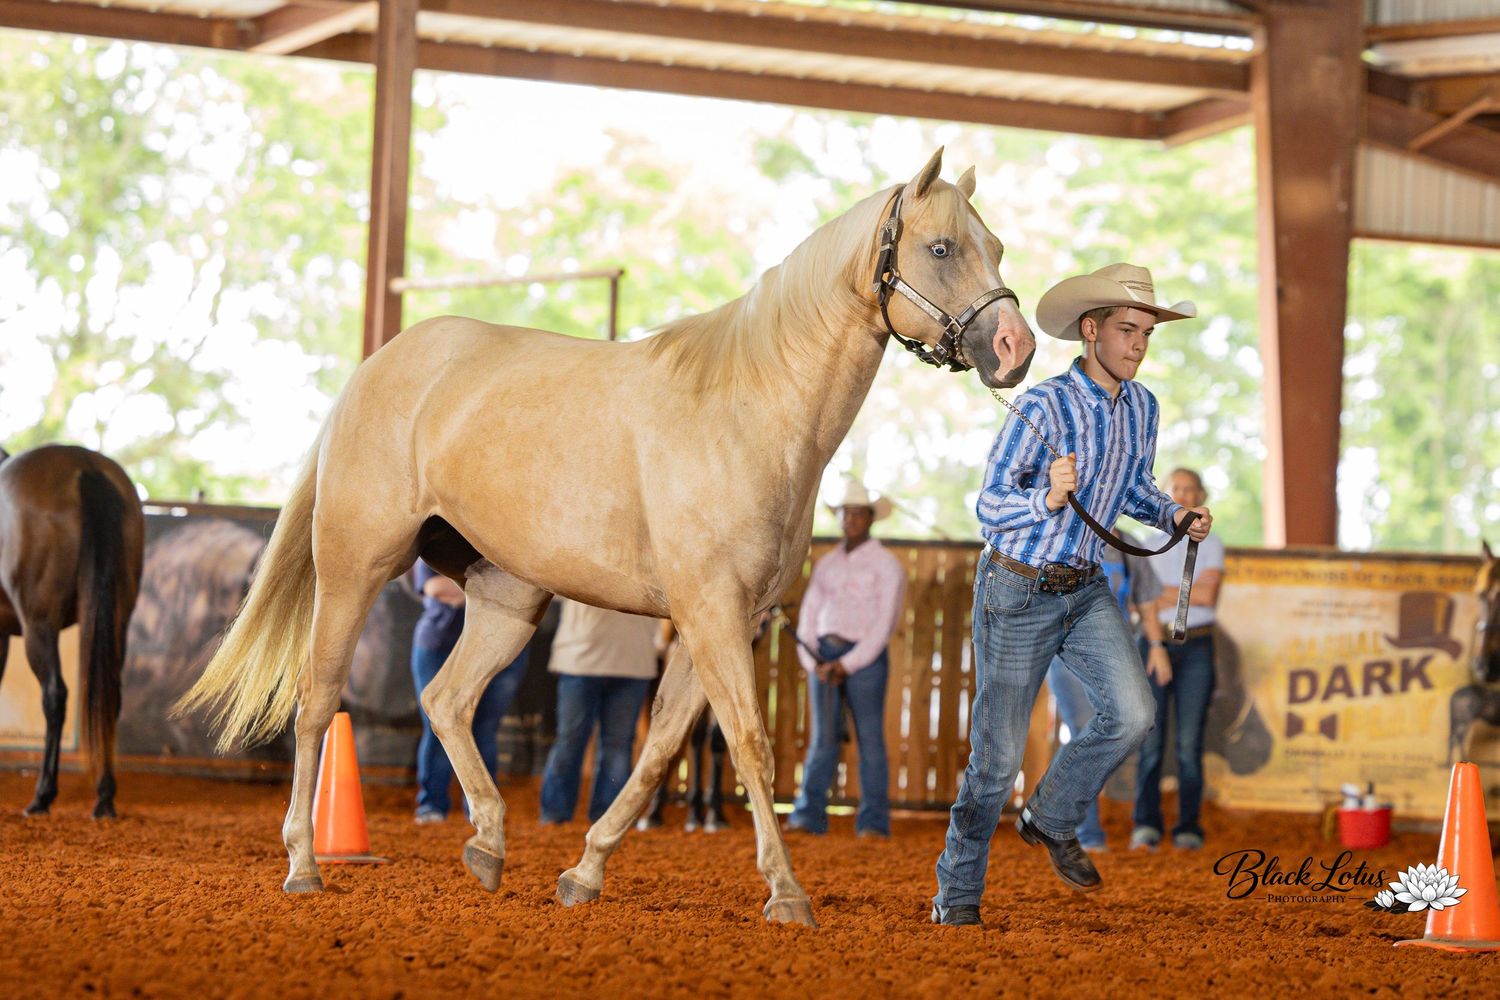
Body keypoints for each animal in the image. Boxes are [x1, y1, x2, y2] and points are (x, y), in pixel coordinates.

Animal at [0, 444, 145, 818]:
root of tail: (83, 465)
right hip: (117, 619)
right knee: (110, 698)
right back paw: (104, 797)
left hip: (39, 625)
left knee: (55, 696)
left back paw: (42, 796)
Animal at [178, 148, 1036, 926]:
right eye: (940, 248)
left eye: (996, 246)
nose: (1014, 349)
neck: (752, 409)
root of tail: (375, 369)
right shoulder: (712, 615)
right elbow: (750, 744)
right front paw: (787, 893)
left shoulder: (720, 626)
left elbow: (658, 754)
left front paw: (585, 871)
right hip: (354, 567)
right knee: (317, 702)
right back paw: (304, 865)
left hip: (507, 599)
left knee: (447, 700)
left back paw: (488, 846)